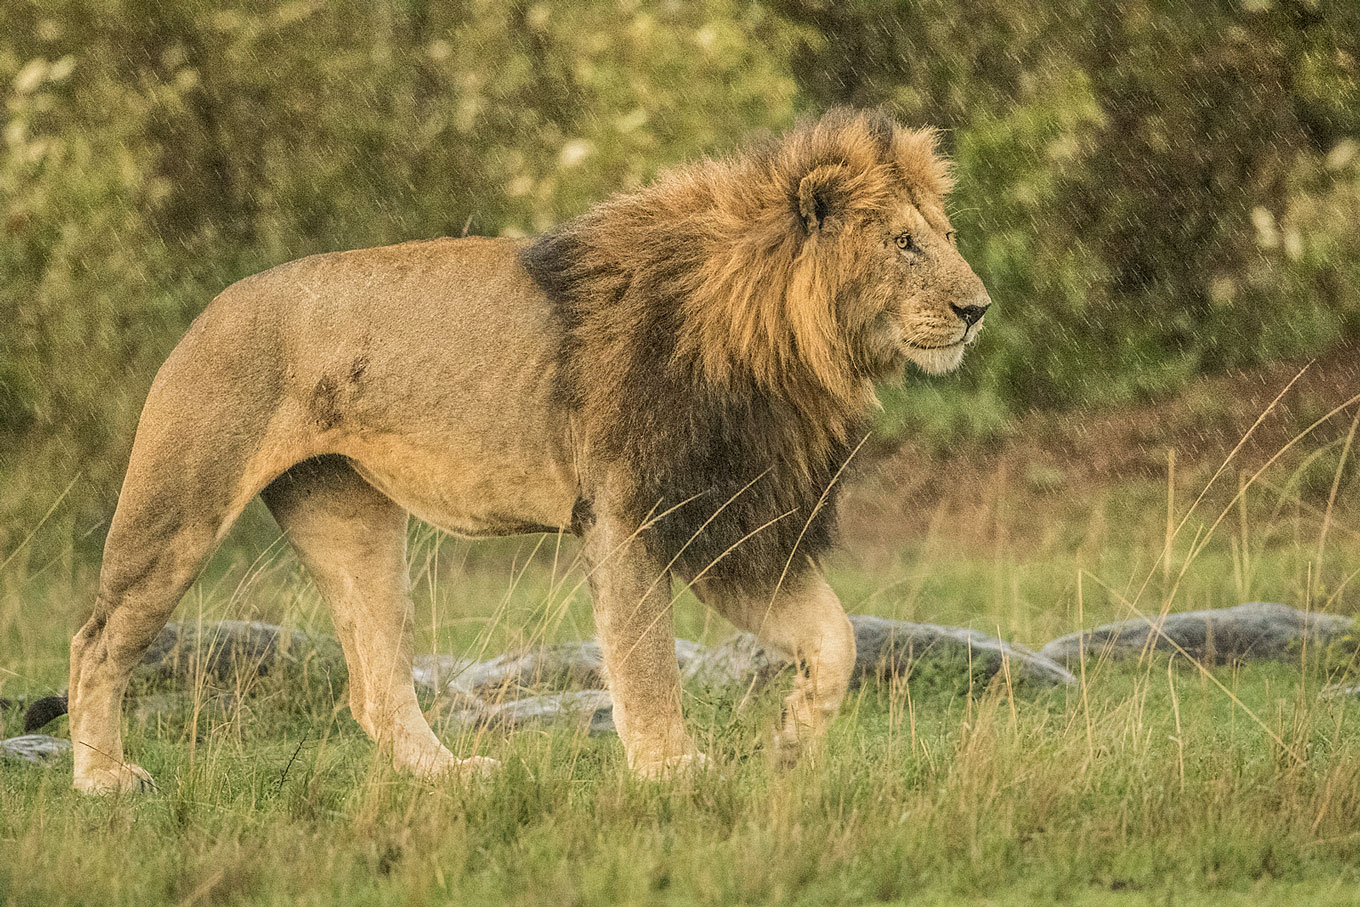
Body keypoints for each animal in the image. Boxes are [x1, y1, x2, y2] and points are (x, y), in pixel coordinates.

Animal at [69, 106, 995, 788]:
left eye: (945, 235)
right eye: (905, 243)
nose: (978, 309)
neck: (780, 345)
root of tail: (211, 308)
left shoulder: (729, 527)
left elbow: (836, 641)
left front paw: (790, 743)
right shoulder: (626, 514)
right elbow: (646, 661)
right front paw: (672, 769)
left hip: (348, 518)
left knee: (375, 686)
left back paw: (450, 777)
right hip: (178, 509)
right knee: (95, 642)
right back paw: (103, 779)